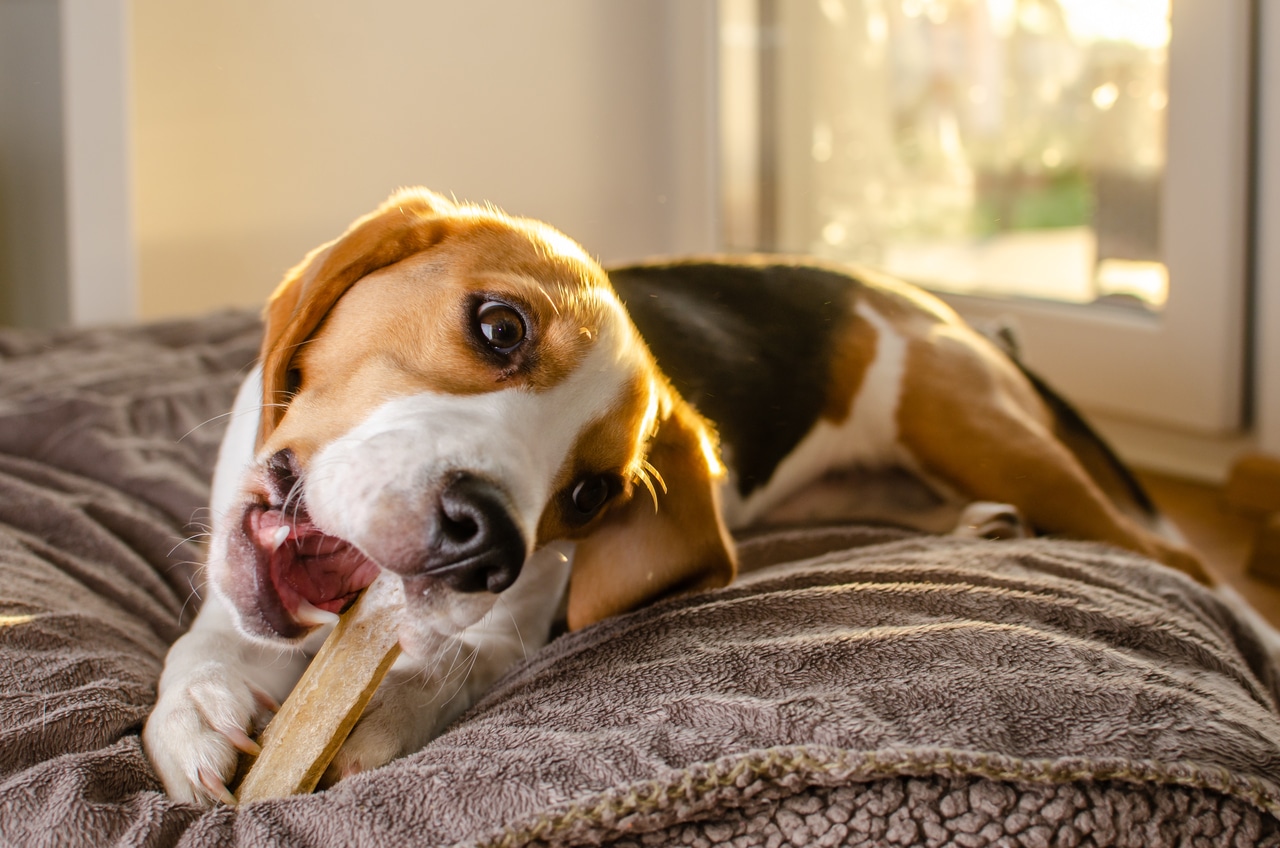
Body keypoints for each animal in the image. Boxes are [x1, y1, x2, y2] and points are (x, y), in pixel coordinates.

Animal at [145, 185, 1203, 804]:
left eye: (588, 496)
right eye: (499, 327)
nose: (487, 542)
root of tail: (928, 299)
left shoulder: (514, 628)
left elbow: (457, 660)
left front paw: (383, 713)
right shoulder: (237, 585)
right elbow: (202, 649)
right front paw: (194, 710)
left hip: (978, 431)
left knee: (1171, 555)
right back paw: (981, 527)